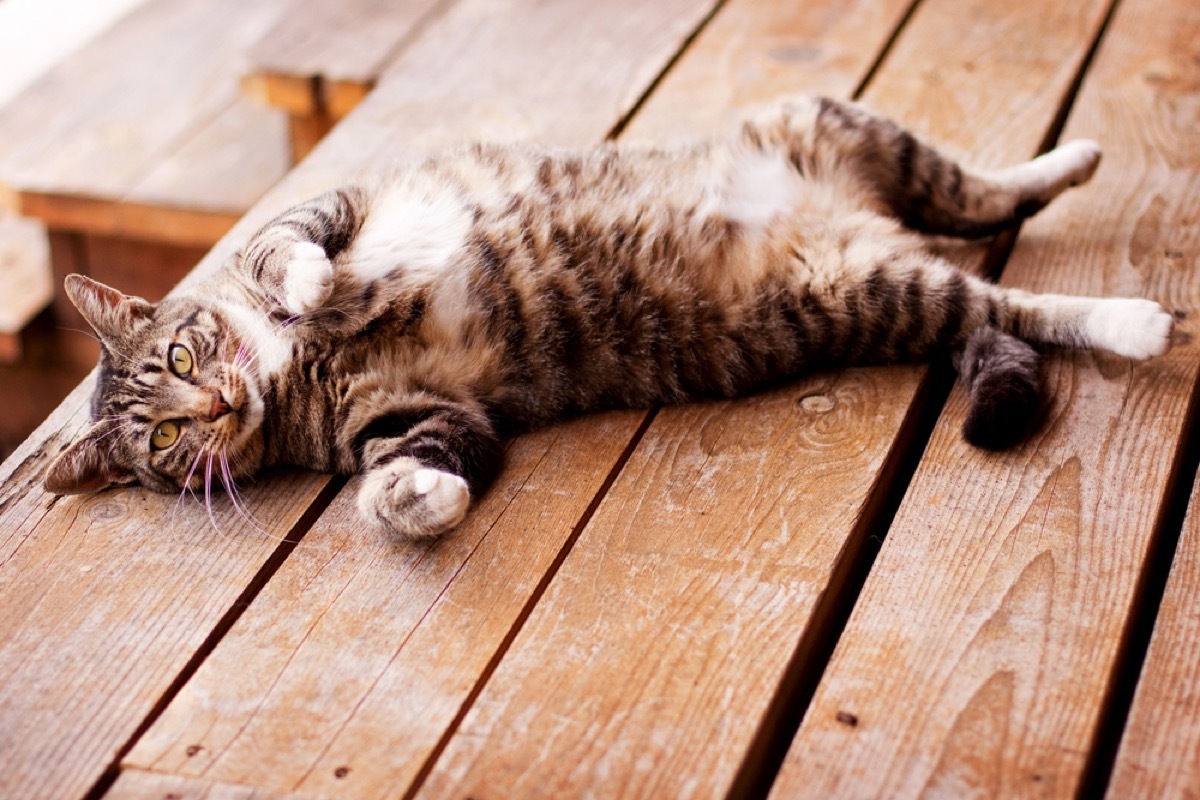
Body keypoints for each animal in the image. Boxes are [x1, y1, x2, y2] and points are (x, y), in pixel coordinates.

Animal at [44, 98, 1171, 537]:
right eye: (169, 438)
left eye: (182, 353)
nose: (214, 403)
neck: (293, 374)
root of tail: (858, 218)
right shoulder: (421, 416)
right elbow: (418, 468)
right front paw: (419, 500)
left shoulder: (331, 207)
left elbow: (291, 248)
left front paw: (312, 289)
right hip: (879, 291)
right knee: (1009, 295)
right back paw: (1130, 318)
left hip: (838, 124)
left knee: (985, 198)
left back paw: (1075, 167)